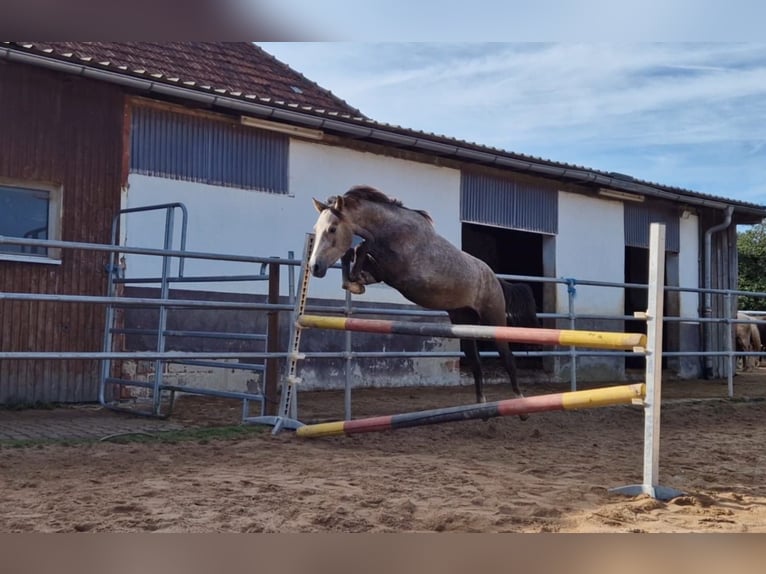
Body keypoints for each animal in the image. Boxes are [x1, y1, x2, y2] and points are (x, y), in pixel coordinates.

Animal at [306, 184, 536, 404]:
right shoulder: (380, 272)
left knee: (508, 359)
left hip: (493, 319)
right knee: (475, 364)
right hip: (464, 322)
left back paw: (520, 404)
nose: (315, 267)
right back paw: (481, 405)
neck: (393, 231)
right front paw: (354, 283)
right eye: (316, 229)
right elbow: (353, 255)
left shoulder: (395, 269)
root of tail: (495, 279)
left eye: (332, 229)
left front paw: (356, 278)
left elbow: (362, 247)